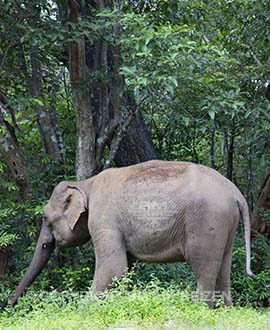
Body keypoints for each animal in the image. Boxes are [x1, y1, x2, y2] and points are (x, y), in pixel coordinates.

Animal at [9, 161, 254, 308]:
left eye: (45, 218)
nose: (9, 305)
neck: (85, 184)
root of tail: (236, 193)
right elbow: (124, 270)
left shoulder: (103, 218)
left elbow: (113, 270)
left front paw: (81, 309)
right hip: (225, 225)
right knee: (223, 270)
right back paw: (224, 312)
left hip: (206, 222)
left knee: (204, 269)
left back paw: (200, 310)